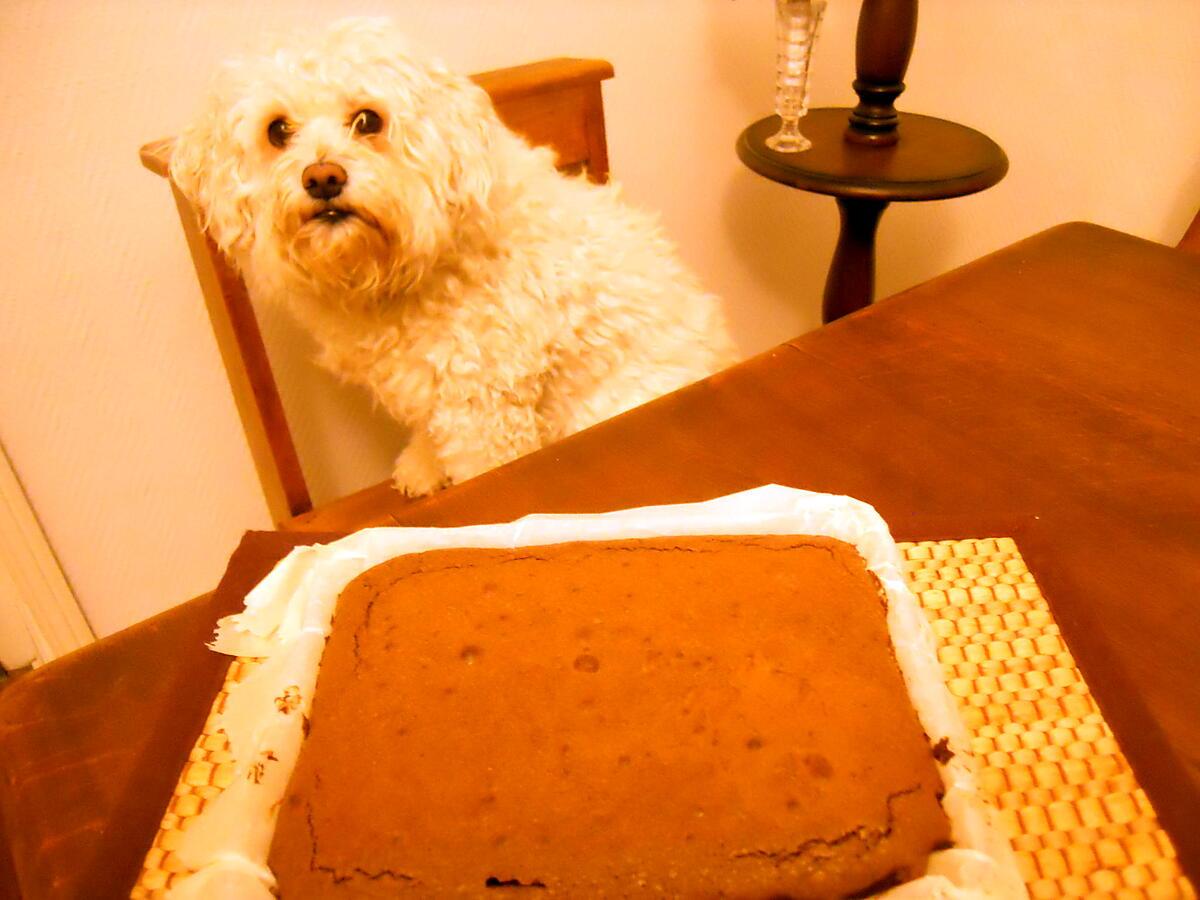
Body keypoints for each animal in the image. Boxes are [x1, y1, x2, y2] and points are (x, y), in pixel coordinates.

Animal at [169, 19, 729, 501]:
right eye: (277, 130)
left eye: (368, 120)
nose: (322, 177)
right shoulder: (426, 384)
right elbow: (426, 428)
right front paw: (422, 464)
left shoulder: (482, 405)